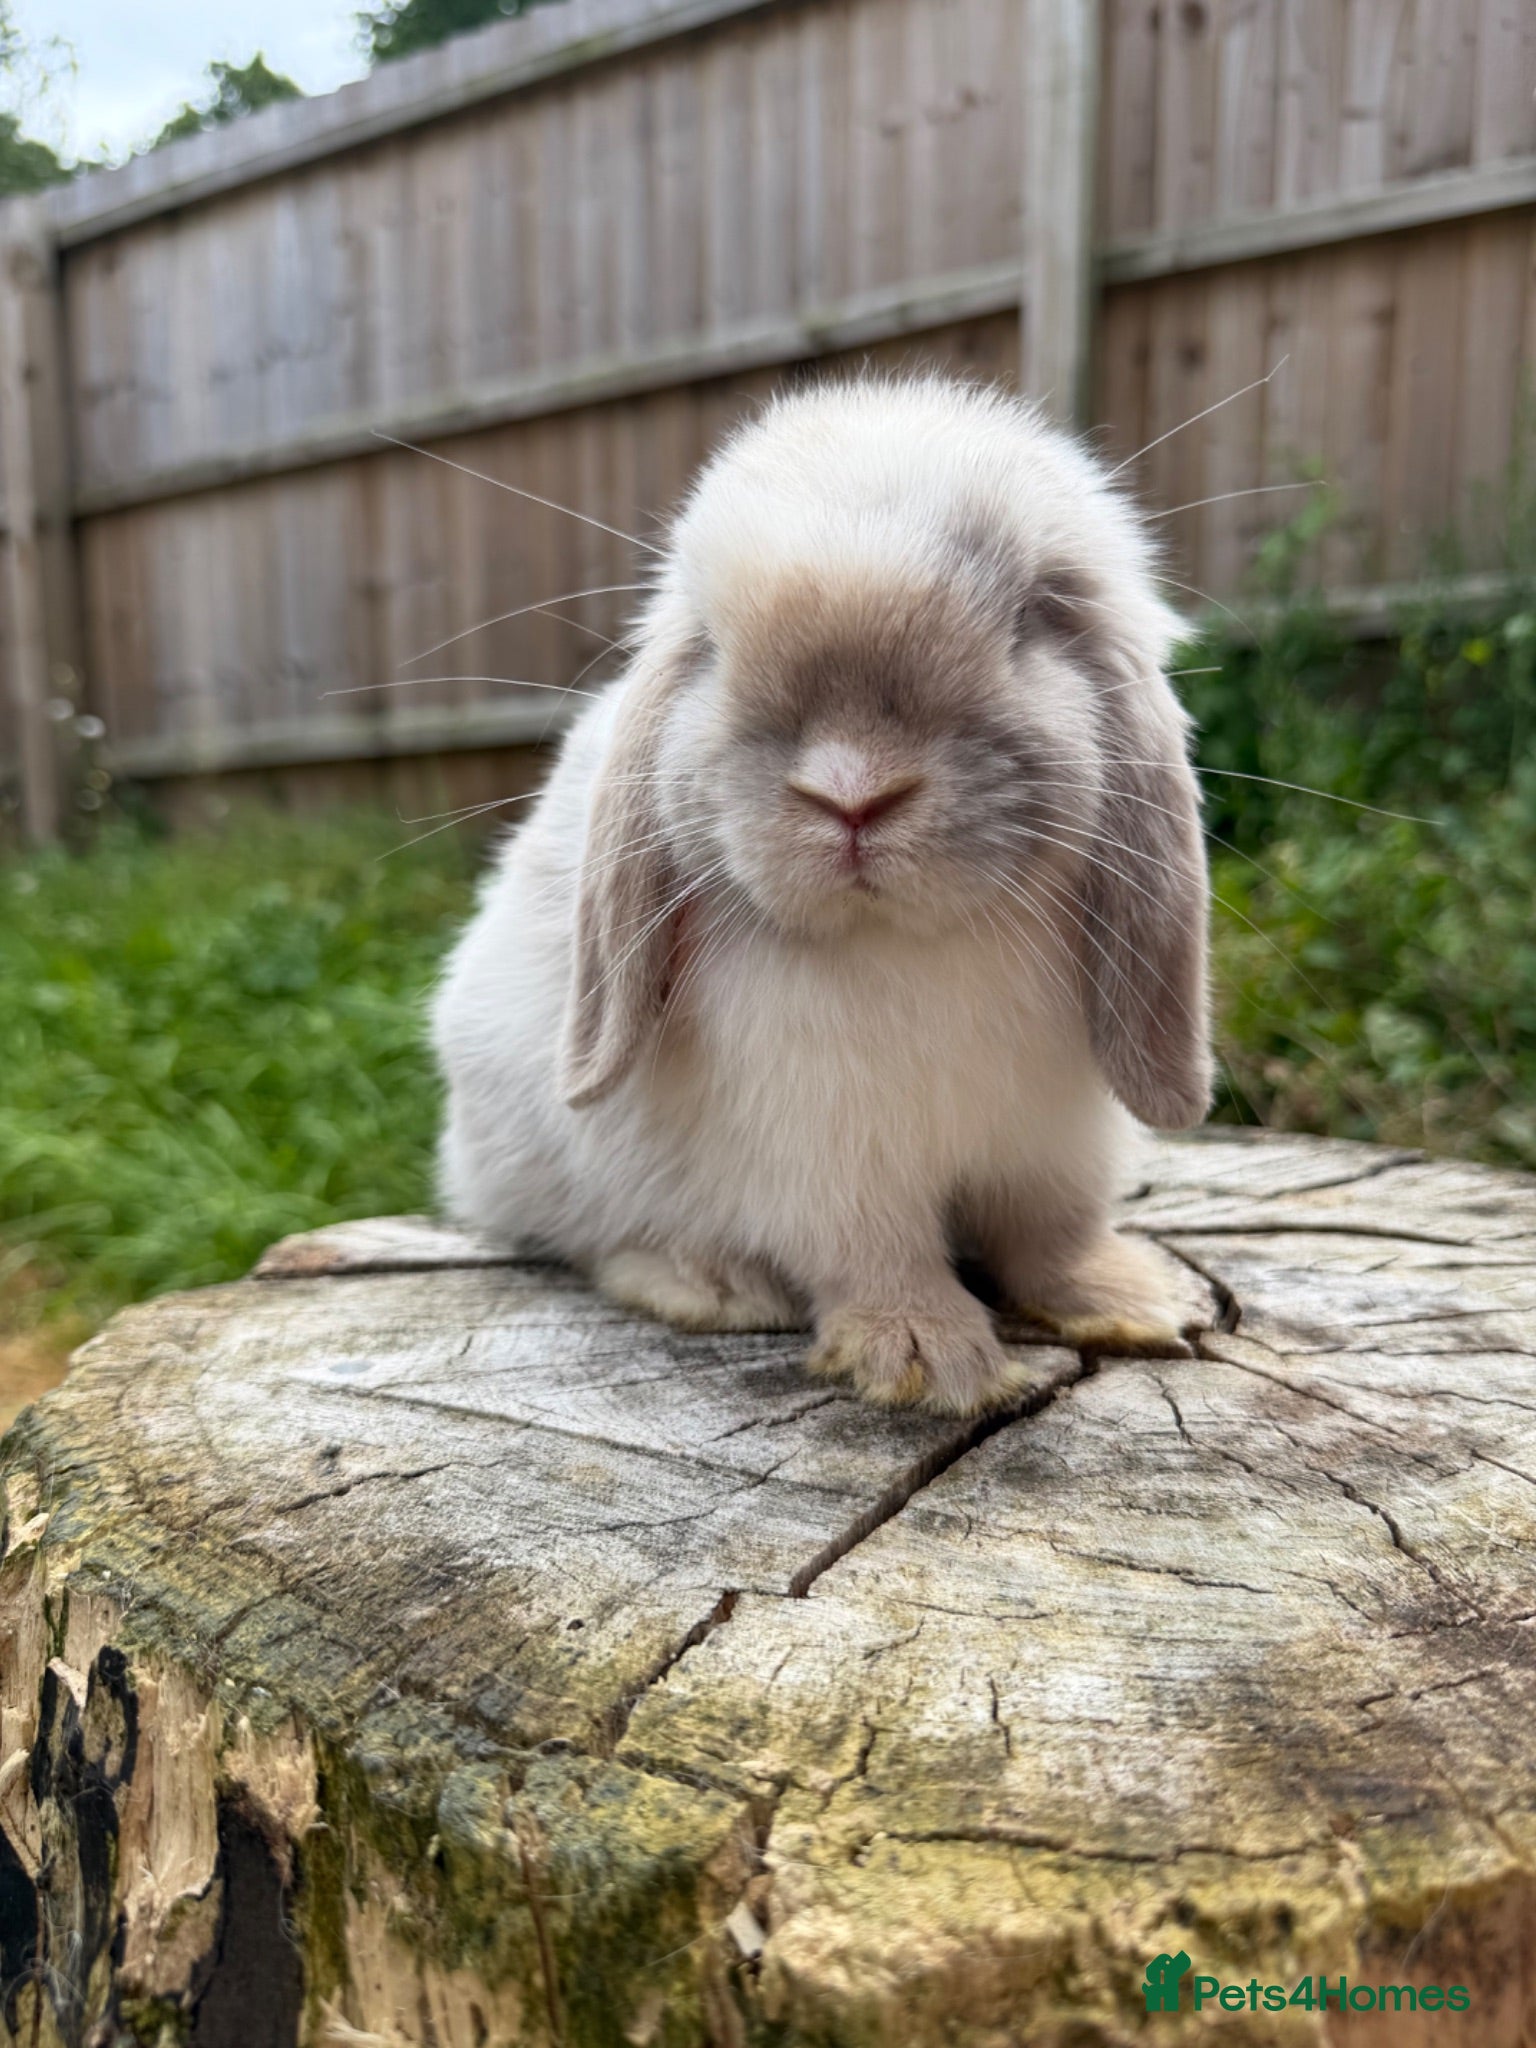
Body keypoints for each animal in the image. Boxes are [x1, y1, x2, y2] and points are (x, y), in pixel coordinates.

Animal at [432, 375, 1211, 1415]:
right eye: (713, 647)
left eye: (1035, 615)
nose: (851, 793)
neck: (910, 946)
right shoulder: (826, 1164)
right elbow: (876, 1257)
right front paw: (926, 1360)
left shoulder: (1057, 1150)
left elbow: (1055, 1238)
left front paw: (1134, 1304)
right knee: (592, 1240)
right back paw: (711, 1285)